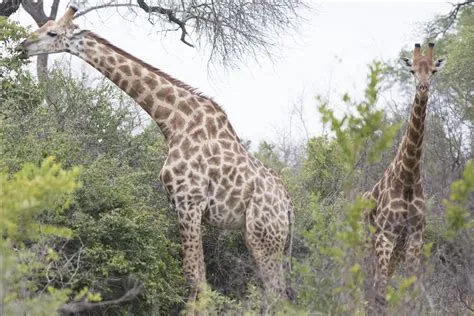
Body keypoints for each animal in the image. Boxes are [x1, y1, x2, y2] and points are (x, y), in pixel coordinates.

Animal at [15, 3, 292, 314]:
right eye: (43, 26)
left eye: (52, 32)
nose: (22, 46)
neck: (173, 123)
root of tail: (289, 207)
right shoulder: (178, 205)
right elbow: (198, 277)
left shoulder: (189, 202)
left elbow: (194, 277)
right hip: (257, 236)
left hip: (263, 236)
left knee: (277, 293)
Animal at [362, 42, 446, 314]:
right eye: (412, 71)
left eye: (433, 71)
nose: (423, 89)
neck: (408, 176)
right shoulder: (386, 234)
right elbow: (381, 290)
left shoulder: (415, 235)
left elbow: (411, 289)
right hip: (367, 242)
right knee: (369, 283)